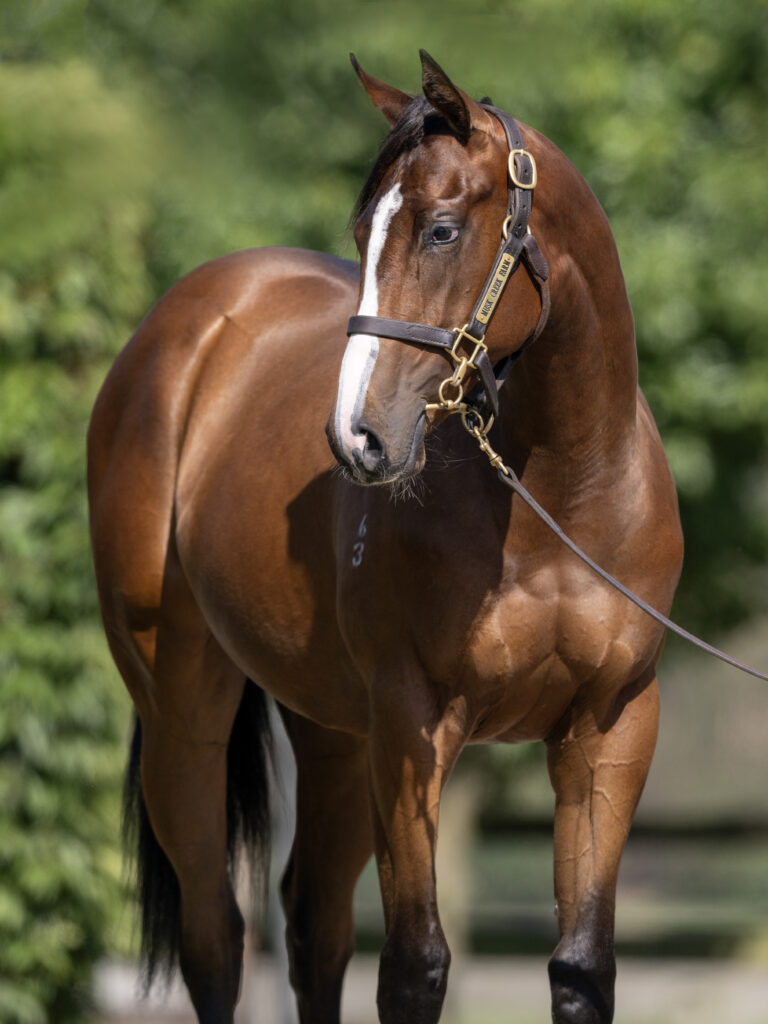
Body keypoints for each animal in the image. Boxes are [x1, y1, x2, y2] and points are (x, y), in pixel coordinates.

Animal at [88, 54, 684, 1024]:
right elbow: (414, 966)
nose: (357, 439)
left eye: (441, 230)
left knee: (313, 927)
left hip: (334, 732)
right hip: (183, 710)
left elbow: (581, 966)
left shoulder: (612, 723)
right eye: (364, 230)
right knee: (216, 936)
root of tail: (183, 327)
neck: (559, 501)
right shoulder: (412, 723)